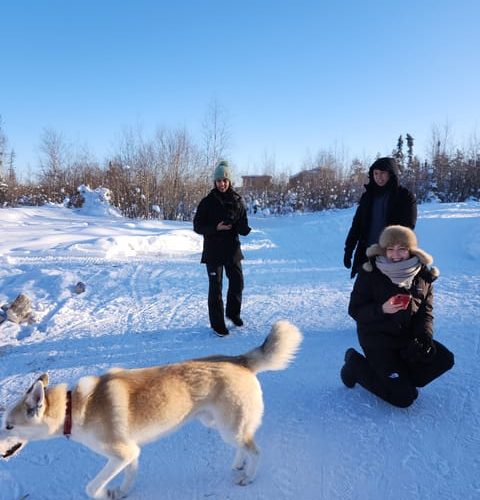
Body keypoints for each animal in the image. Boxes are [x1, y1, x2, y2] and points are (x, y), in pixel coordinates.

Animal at [0, 322, 302, 498]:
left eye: (8, 426)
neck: (72, 408)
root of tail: (239, 360)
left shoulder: (121, 453)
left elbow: (92, 486)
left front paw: (104, 494)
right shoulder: (131, 452)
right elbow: (130, 474)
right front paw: (122, 492)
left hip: (230, 427)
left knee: (255, 450)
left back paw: (248, 476)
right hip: (220, 425)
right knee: (243, 446)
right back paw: (238, 464)